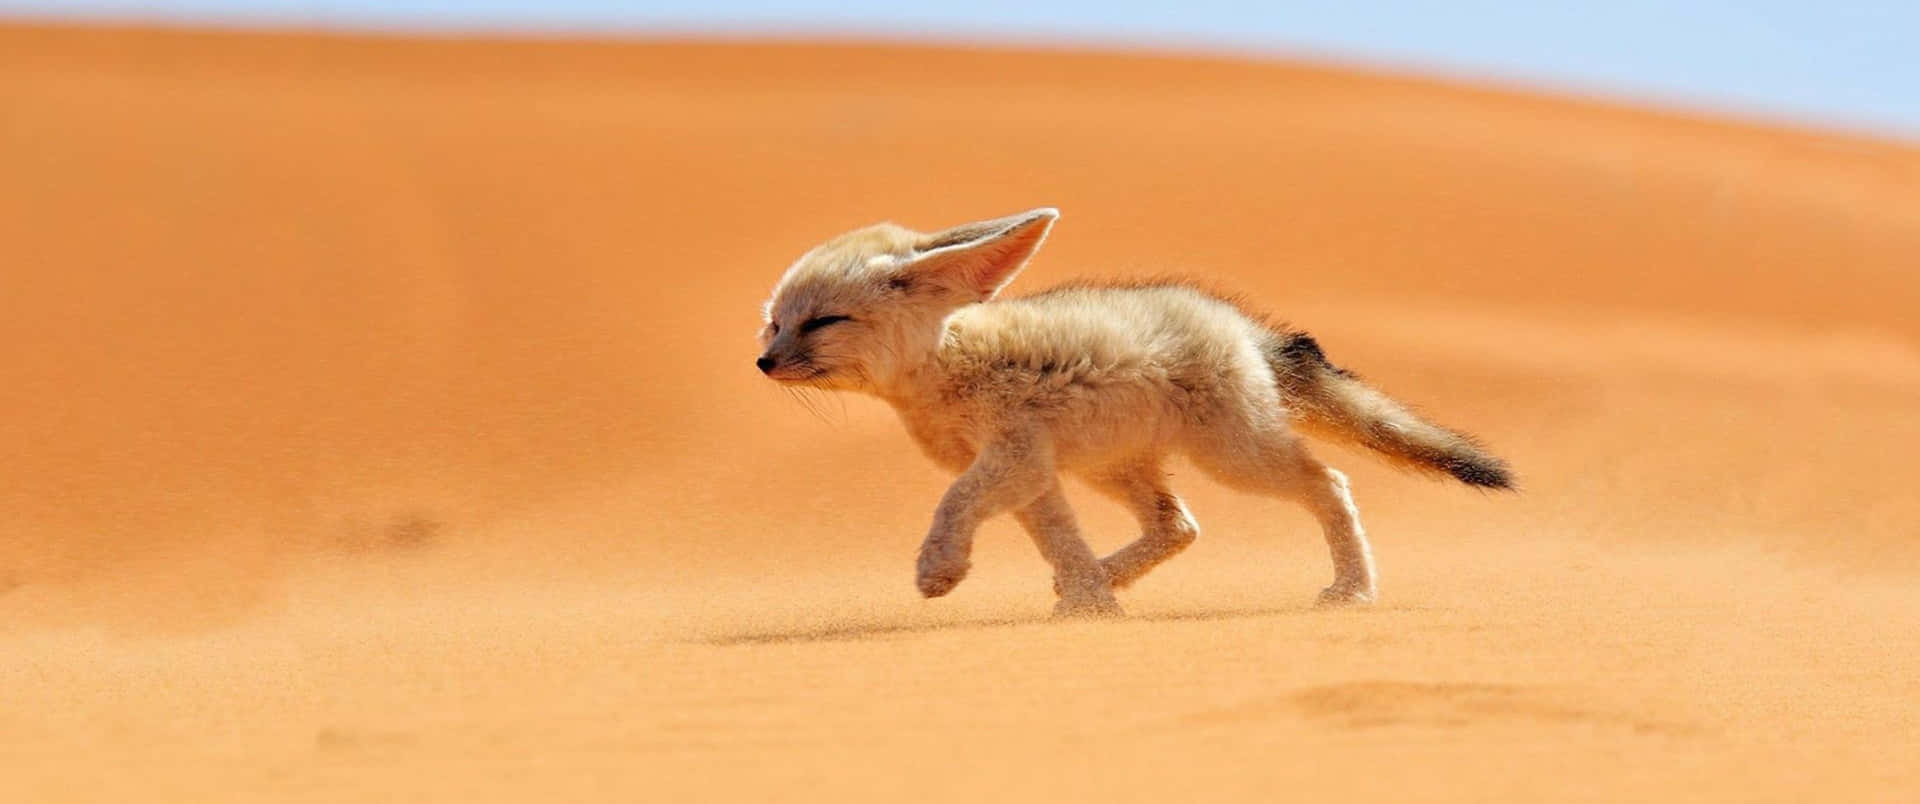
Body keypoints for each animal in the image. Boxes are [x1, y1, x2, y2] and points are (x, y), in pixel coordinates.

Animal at [756, 208, 1505, 617]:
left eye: (823, 322)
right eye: (775, 323)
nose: (763, 363)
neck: (947, 364)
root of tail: (1239, 323)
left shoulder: (1012, 458)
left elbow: (953, 503)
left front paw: (939, 568)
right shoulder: (1033, 474)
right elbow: (1060, 540)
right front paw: (1092, 603)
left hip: (1235, 459)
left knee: (1330, 484)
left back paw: (1353, 589)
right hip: (1113, 468)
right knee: (1180, 525)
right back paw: (1100, 580)